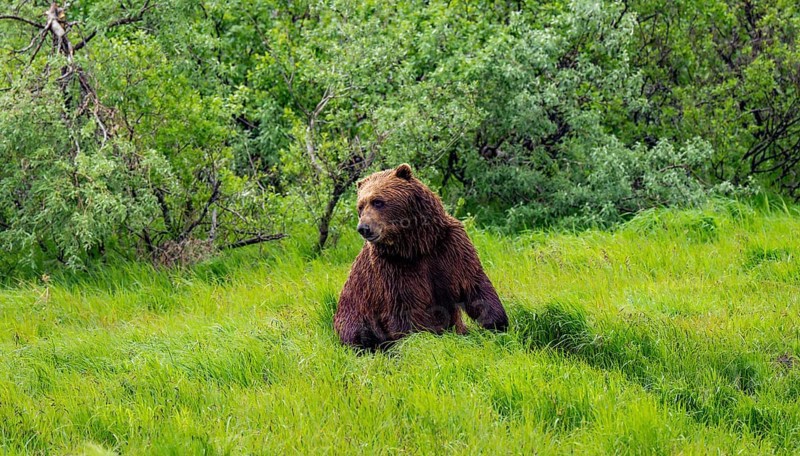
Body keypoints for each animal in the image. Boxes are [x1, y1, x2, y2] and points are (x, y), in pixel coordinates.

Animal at [334, 163, 509, 350]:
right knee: (361, 335)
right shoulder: (393, 265)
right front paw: (420, 342)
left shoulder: (450, 247)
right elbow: (406, 308)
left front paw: (497, 325)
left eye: (378, 201)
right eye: (360, 206)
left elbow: (474, 285)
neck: (417, 245)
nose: (364, 228)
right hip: (355, 314)